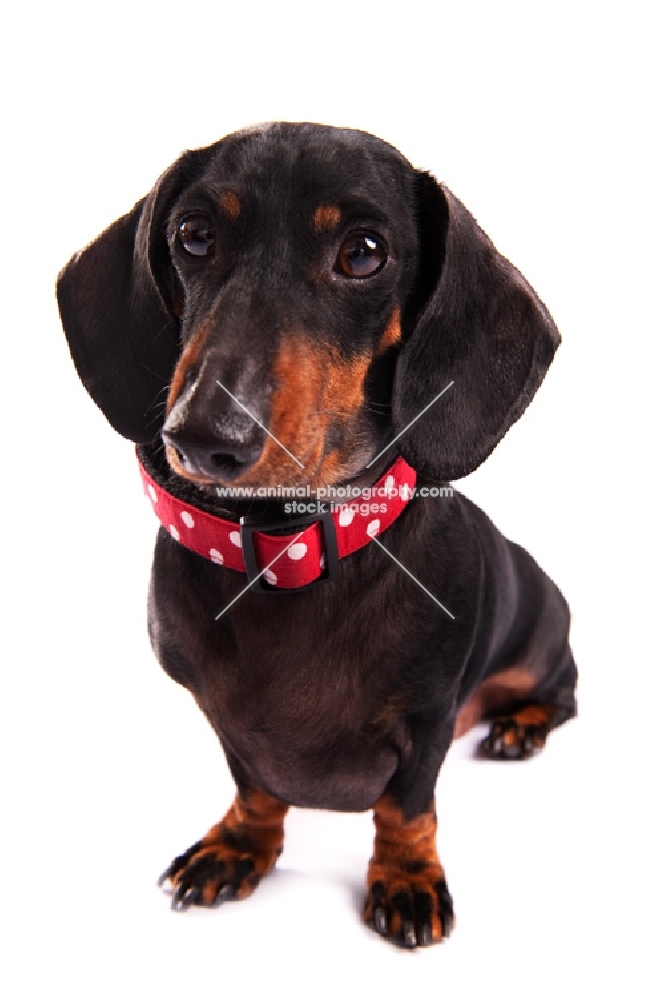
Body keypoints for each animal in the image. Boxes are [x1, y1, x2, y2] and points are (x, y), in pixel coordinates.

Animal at [58, 123, 576, 944]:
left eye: (363, 252)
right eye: (194, 235)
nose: (203, 436)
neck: (289, 549)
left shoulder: (429, 718)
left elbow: (406, 806)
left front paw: (406, 878)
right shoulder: (226, 723)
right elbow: (255, 788)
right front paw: (239, 846)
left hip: (542, 645)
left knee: (562, 692)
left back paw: (520, 727)